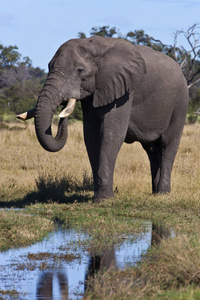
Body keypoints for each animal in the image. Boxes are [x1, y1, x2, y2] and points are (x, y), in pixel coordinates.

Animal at [17, 36, 188, 202]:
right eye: (48, 67)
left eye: (80, 70)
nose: (64, 105)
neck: (95, 47)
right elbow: (91, 137)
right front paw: (96, 197)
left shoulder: (123, 91)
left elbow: (111, 135)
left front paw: (103, 199)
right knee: (151, 150)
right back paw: (155, 192)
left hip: (179, 103)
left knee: (168, 144)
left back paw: (163, 194)